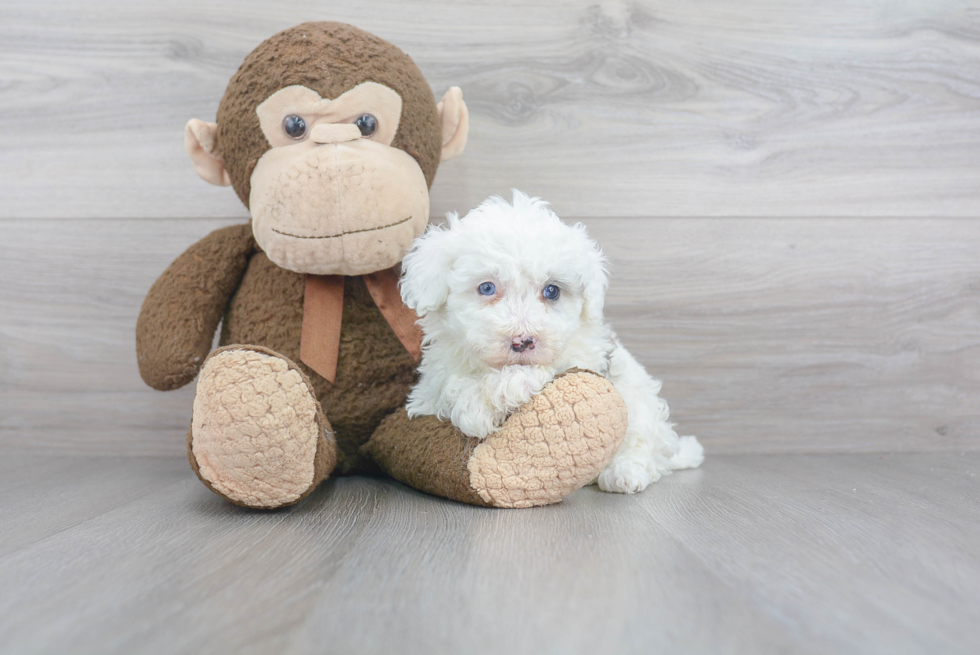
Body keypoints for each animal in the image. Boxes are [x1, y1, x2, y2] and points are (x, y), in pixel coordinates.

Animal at [398, 192, 704, 494]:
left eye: (552, 291)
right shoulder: (435, 378)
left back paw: (624, 473)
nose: (523, 341)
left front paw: (493, 396)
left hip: (642, 407)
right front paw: (474, 404)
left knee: (647, 448)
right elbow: (448, 386)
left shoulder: (583, 358)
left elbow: (545, 370)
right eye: (486, 287)